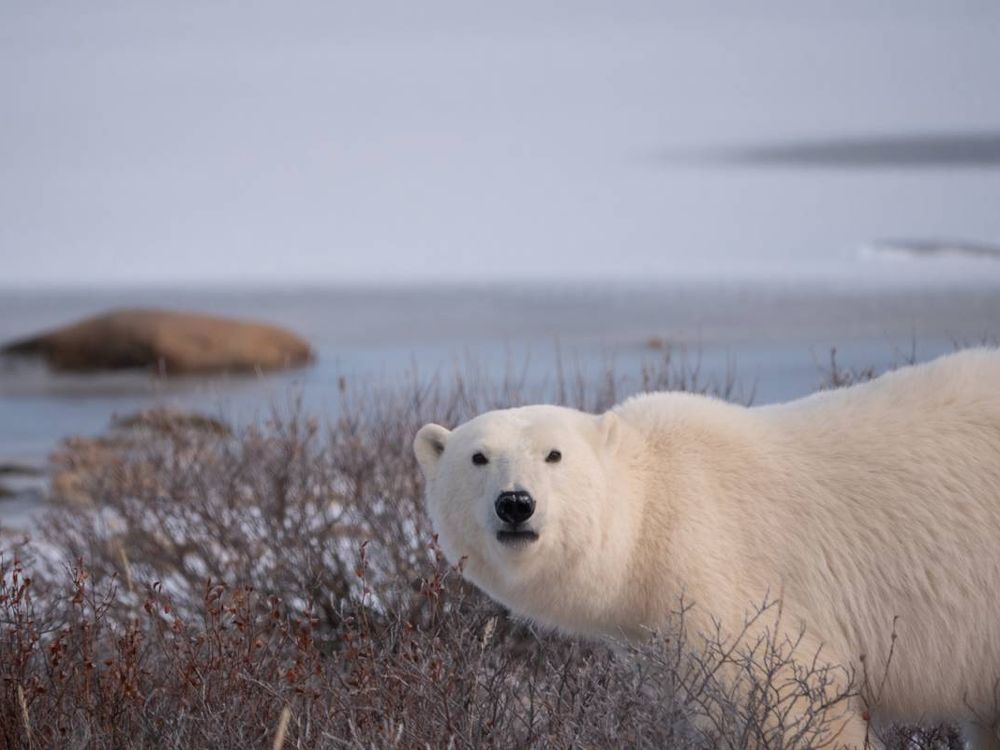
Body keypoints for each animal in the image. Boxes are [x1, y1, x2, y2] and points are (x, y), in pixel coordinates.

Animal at [418, 350, 1000, 748]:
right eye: (478, 457)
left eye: (554, 454)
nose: (516, 503)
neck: (653, 513)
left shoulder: (728, 585)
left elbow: (797, 709)